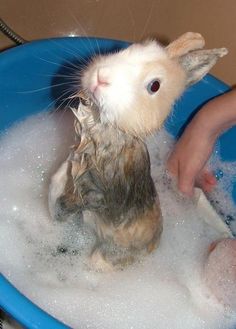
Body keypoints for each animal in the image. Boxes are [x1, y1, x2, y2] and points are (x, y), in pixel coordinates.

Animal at [48, 32, 228, 270]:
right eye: (130, 48)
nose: (101, 77)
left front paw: (61, 205)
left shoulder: (96, 193)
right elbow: (59, 178)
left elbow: (78, 200)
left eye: (154, 86)